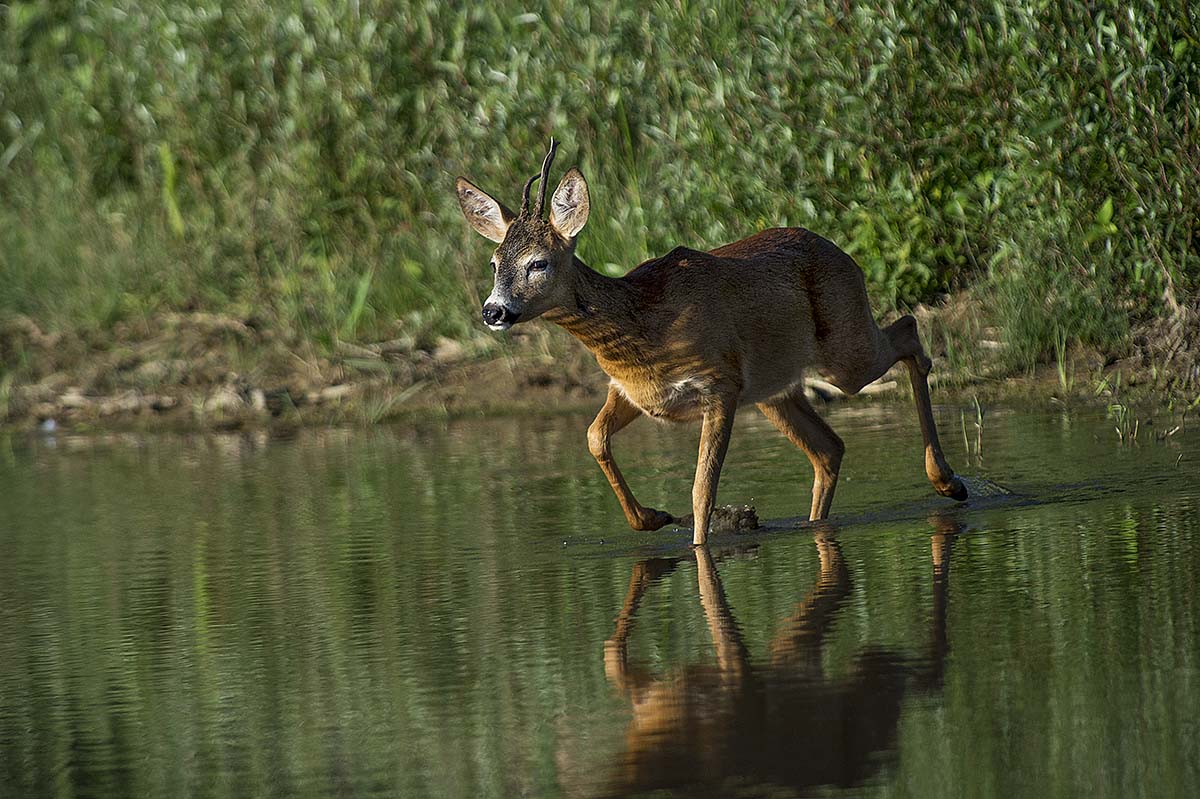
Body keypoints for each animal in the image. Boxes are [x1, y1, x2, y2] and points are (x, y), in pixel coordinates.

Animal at [455, 139, 967, 546]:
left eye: (538, 262)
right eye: (494, 262)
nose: (493, 311)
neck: (640, 323)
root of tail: (844, 254)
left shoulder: (719, 384)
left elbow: (702, 489)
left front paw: (699, 546)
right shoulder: (632, 391)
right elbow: (594, 437)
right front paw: (652, 517)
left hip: (844, 352)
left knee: (908, 331)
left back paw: (948, 482)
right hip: (772, 388)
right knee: (830, 448)